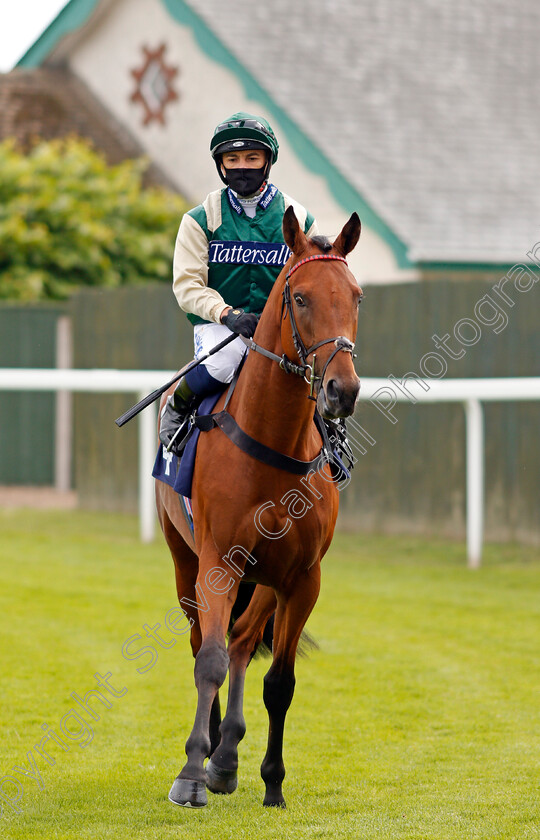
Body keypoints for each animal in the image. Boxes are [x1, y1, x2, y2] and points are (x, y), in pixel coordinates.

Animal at [154, 205, 360, 808]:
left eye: (357, 296)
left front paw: (272, 781)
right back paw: (209, 753)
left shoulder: (302, 577)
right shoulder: (218, 562)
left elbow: (280, 682)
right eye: (301, 298)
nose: (342, 390)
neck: (273, 444)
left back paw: (227, 758)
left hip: (266, 577)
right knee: (203, 640)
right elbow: (209, 662)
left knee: (245, 639)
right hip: (184, 560)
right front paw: (190, 773)